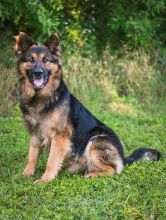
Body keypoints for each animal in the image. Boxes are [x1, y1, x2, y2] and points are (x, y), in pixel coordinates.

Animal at [13, 32, 161, 184]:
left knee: (113, 169)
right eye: (30, 59)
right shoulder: (35, 135)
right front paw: (25, 174)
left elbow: (51, 162)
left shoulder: (59, 137)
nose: (38, 73)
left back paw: (92, 174)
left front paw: (45, 180)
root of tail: (123, 156)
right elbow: (31, 158)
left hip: (95, 140)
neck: (41, 99)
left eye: (45, 60)